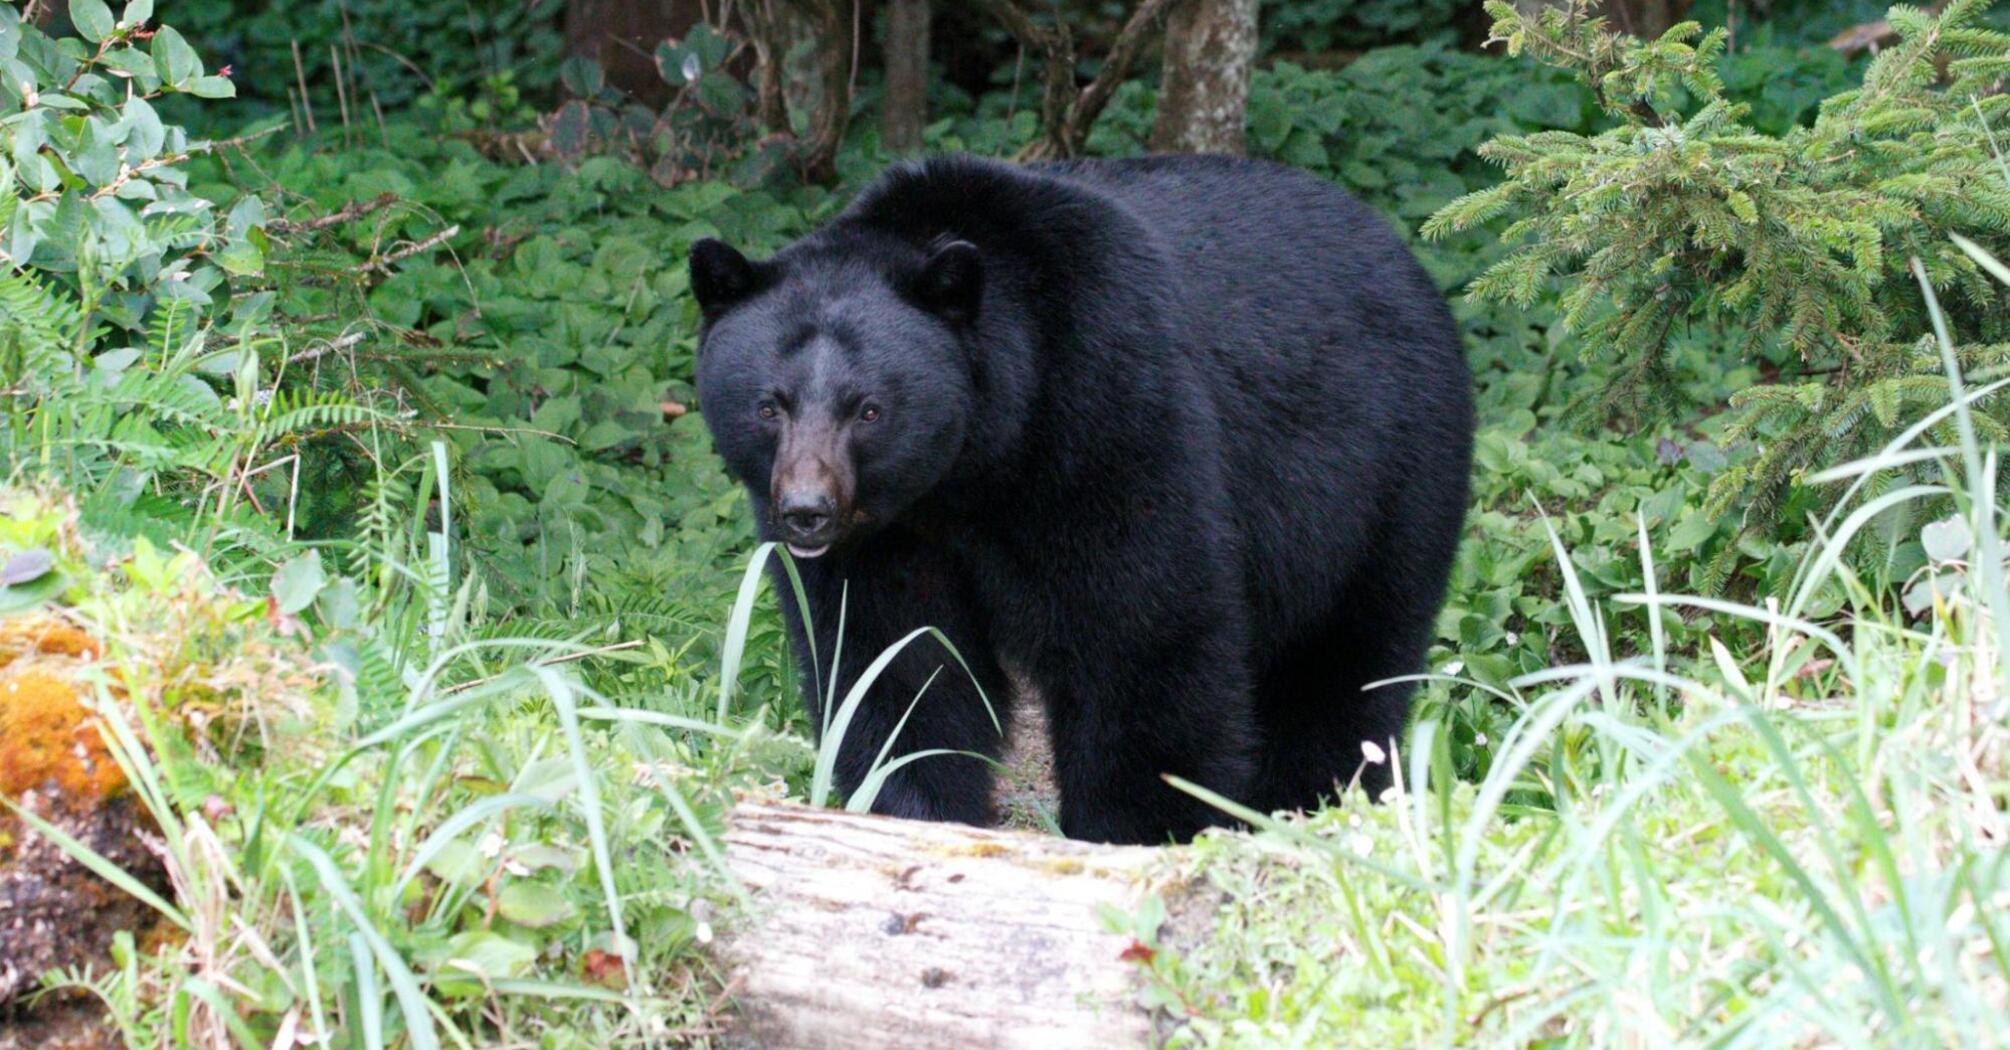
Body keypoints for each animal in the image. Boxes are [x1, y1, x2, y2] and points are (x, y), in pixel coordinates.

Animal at [690, 153, 1472, 845]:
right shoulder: (889, 536)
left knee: (1345, 658)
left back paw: (1310, 802)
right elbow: (894, 658)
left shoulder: (1104, 409)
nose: (807, 511)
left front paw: (1138, 827)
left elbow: (1141, 630)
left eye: (869, 409)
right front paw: (908, 806)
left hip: (1383, 471)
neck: (971, 468)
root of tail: (1401, 252)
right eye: (769, 406)